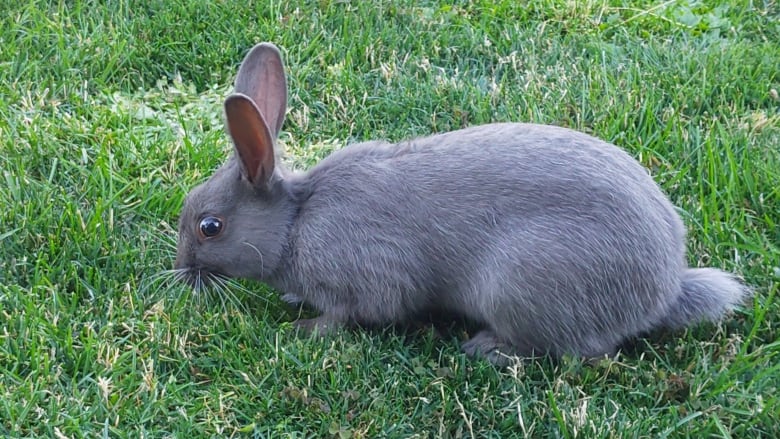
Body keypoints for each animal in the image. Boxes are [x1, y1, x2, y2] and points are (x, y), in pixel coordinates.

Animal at [174, 43, 748, 366]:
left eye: (210, 227)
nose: (181, 273)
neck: (296, 221)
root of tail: (663, 290)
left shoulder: (367, 280)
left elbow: (351, 314)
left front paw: (304, 328)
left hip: (522, 283)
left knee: (585, 351)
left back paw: (487, 349)